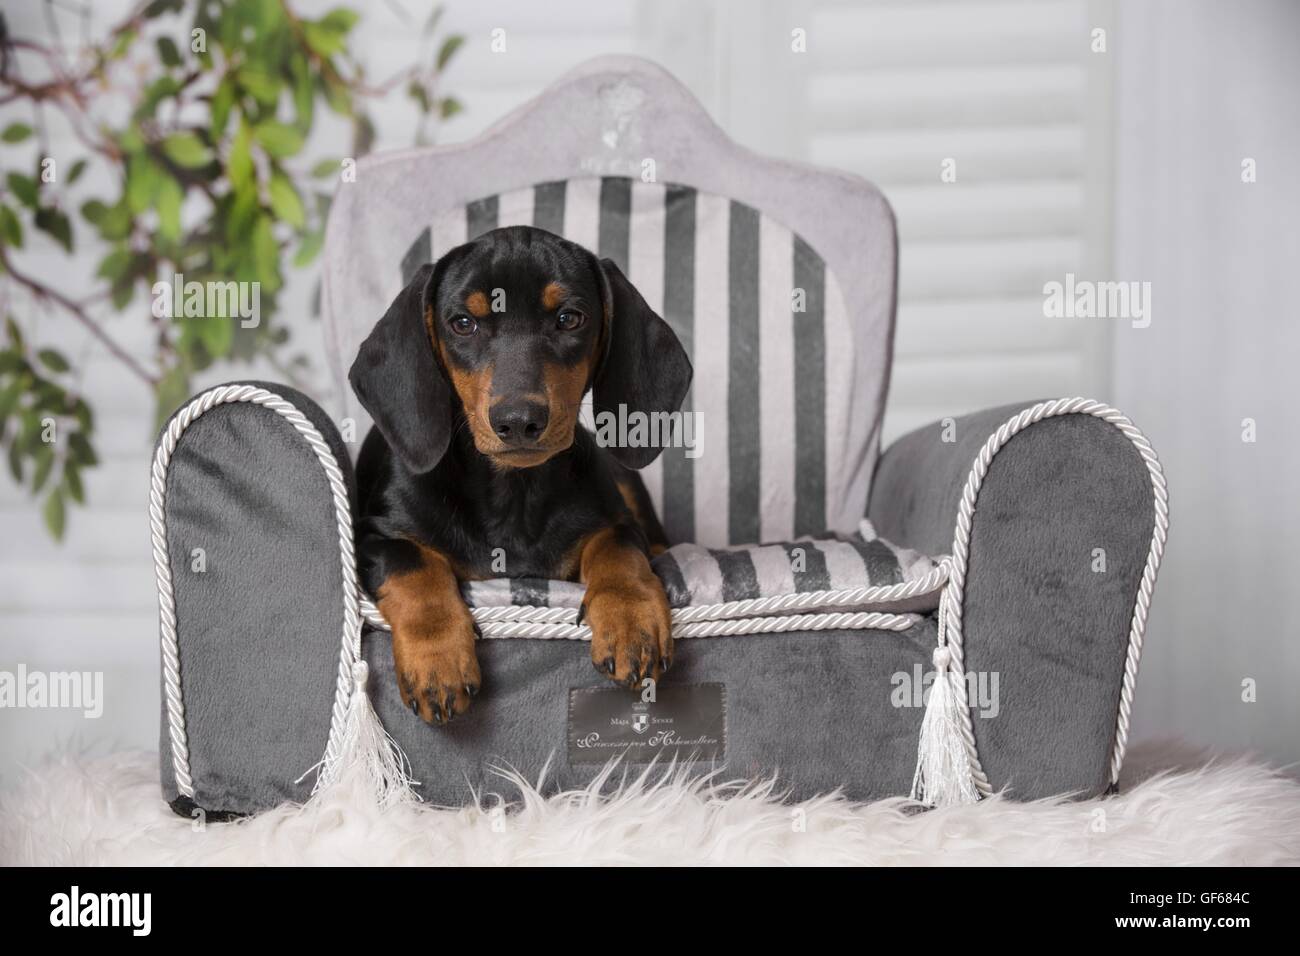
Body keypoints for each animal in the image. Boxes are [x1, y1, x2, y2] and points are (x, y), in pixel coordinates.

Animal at [345, 223, 691, 723]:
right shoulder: (376, 537)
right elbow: (414, 565)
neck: (513, 492)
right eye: (462, 323)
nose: (518, 421)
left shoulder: (613, 521)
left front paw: (632, 619)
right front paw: (437, 658)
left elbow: (619, 547)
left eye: (569, 318)